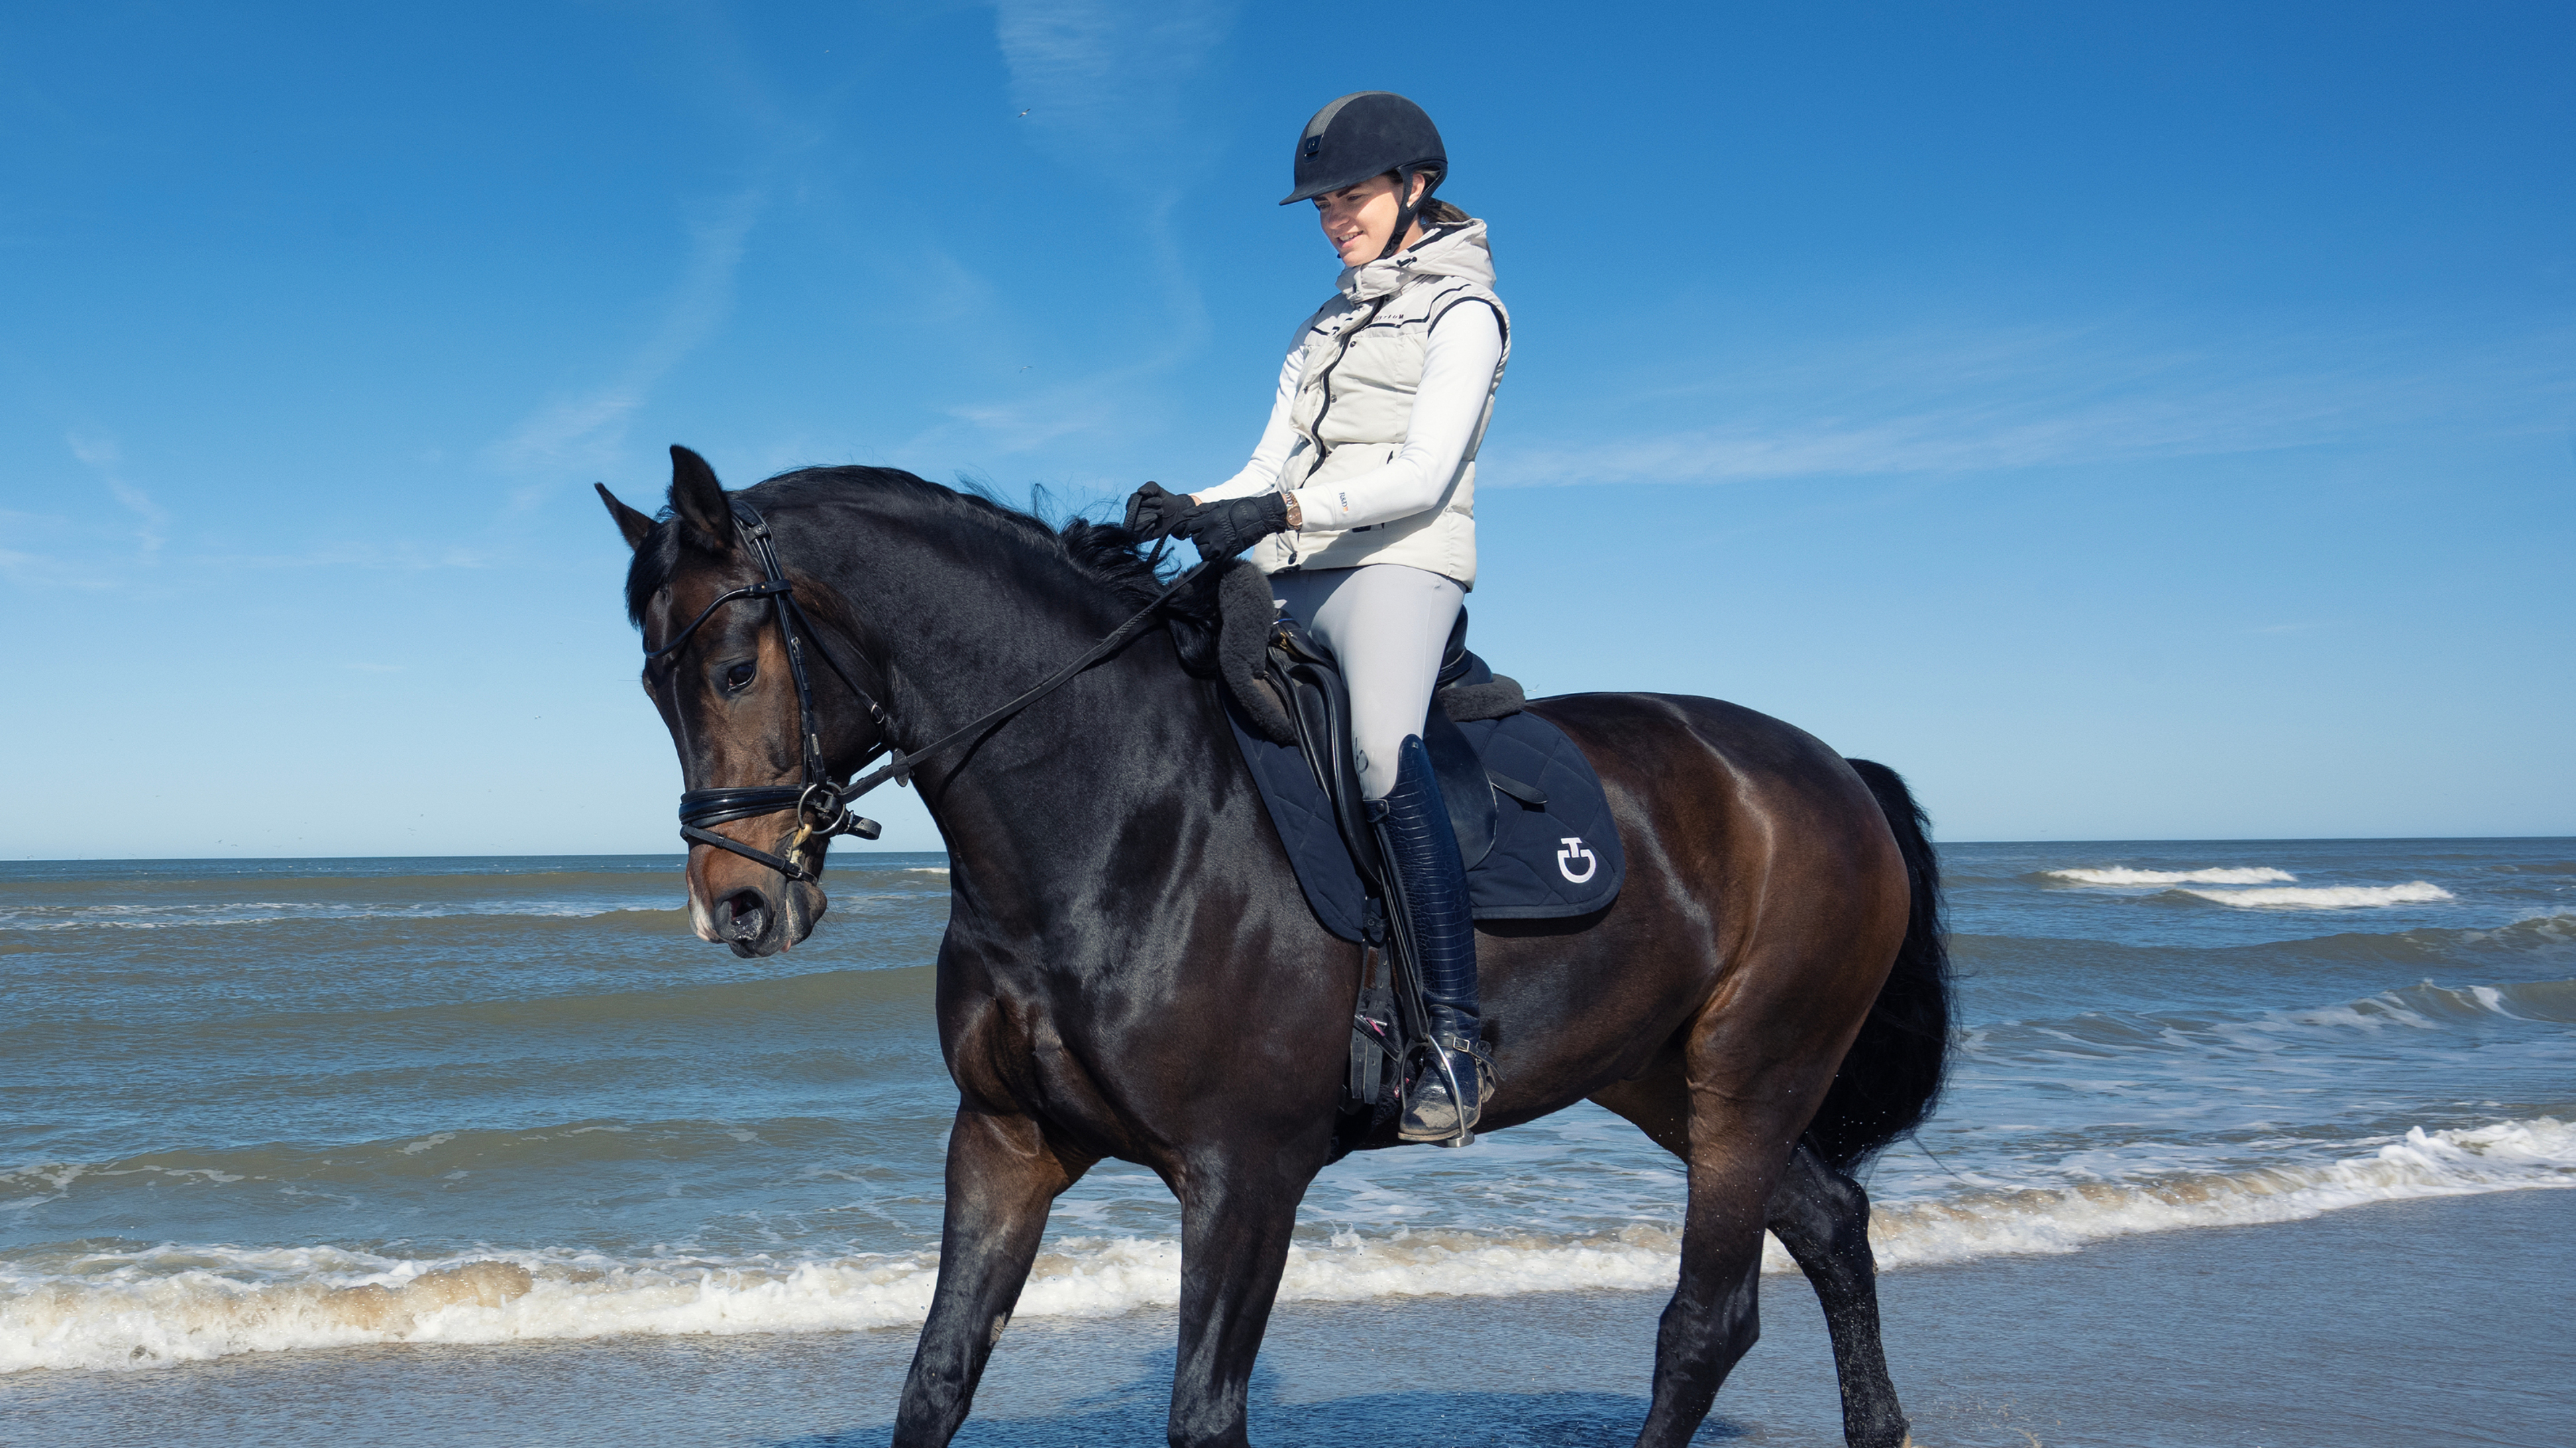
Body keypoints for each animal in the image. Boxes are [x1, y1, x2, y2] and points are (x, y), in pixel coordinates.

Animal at [597, 446, 1952, 1448]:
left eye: (732, 668)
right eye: (654, 688)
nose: (737, 906)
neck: (1115, 813)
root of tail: (1830, 766)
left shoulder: (1247, 1172)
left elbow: (1204, 1412)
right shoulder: (1005, 1140)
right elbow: (934, 1381)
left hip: (1751, 1074)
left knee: (1707, 1320)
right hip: (1662, 1076)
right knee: (1832, 1224)